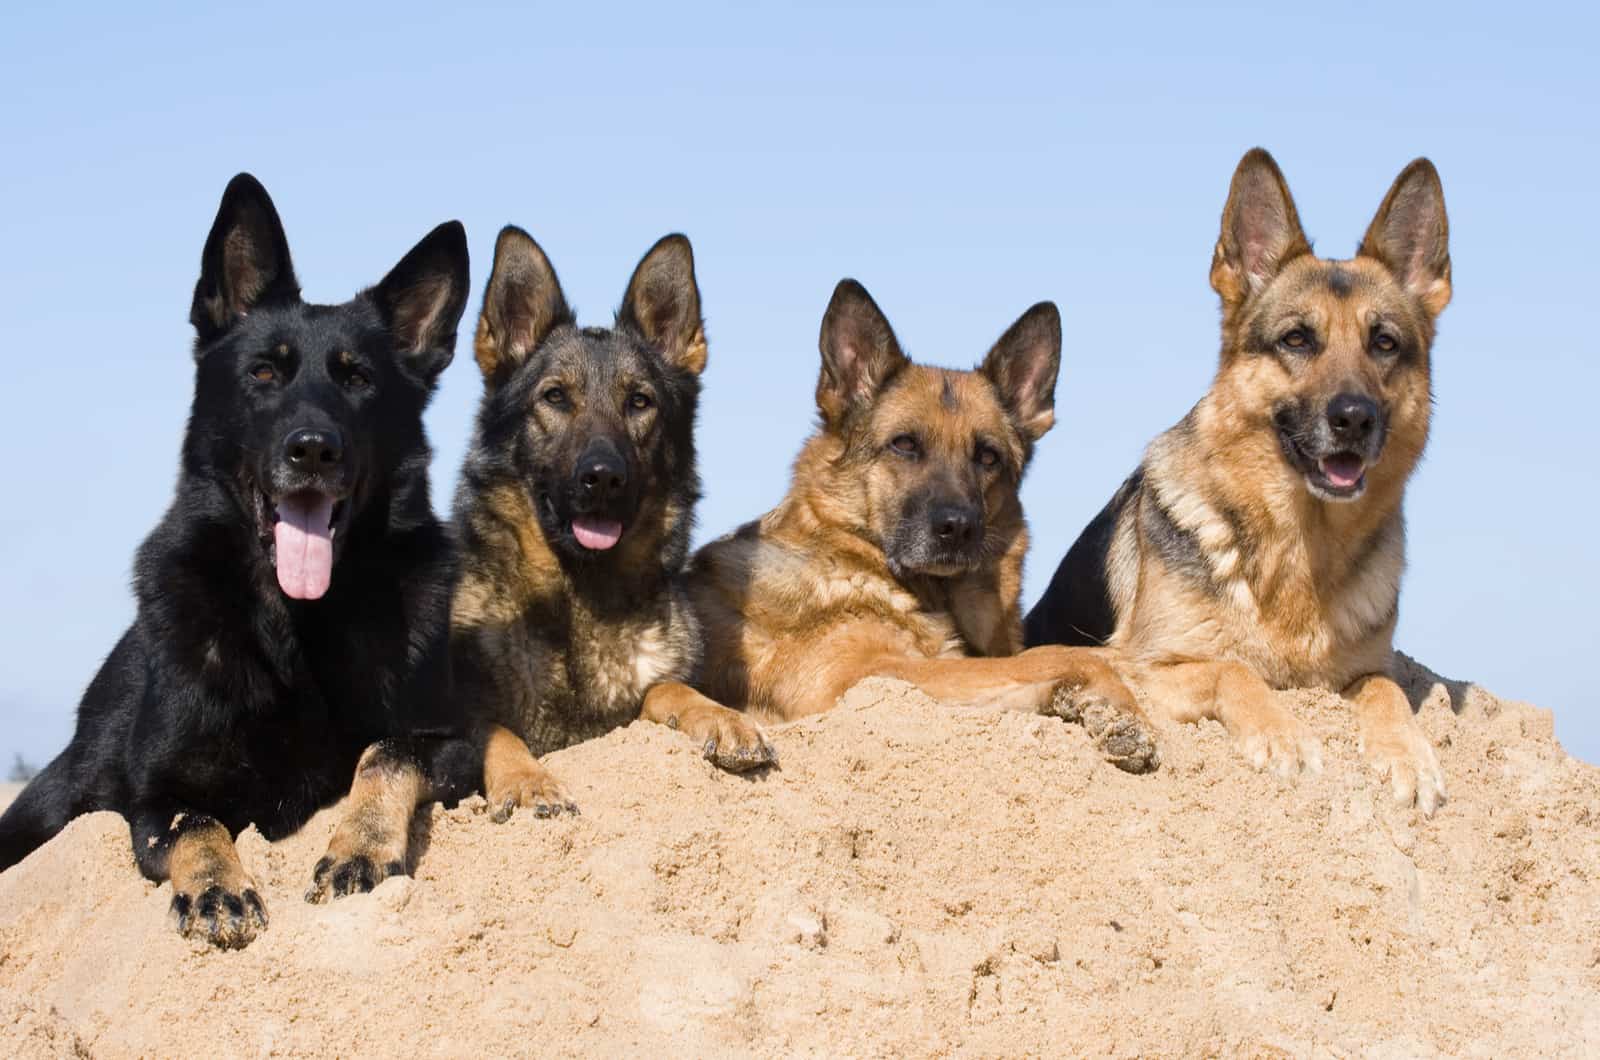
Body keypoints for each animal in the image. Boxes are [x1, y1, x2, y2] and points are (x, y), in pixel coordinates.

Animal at [0, 176, 476, 954]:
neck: (295, 626)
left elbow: (386, 754)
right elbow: (197, 822)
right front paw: (217, 888)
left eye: (359, 380)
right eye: (263, 373)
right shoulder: (156, 796)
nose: (312, 449)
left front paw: (359, 848)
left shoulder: (452, 742)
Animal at [451, 228, 774, 826]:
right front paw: (528, 782)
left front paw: (722, 717)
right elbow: (495, 729)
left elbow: (665, 691)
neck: (581, 598)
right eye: (555, 397)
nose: (602, 477)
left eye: (639, 401)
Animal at [681, 278, 1158, 768]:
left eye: (988, 456)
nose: (957, 528)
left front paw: (1097, 709)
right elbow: (1061, 656)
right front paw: (1118, 706)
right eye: (904, 444)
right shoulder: (869, 676)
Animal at [1024, 147, 1452, 813]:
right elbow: (1235, 668)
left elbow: (1387, 688)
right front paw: (1283, 735)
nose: (1354, 418)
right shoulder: (1142, 663)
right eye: (1297, 339)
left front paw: (1408, 755)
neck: (1299, 550)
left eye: (1384, 343)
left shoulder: (1361, 672)